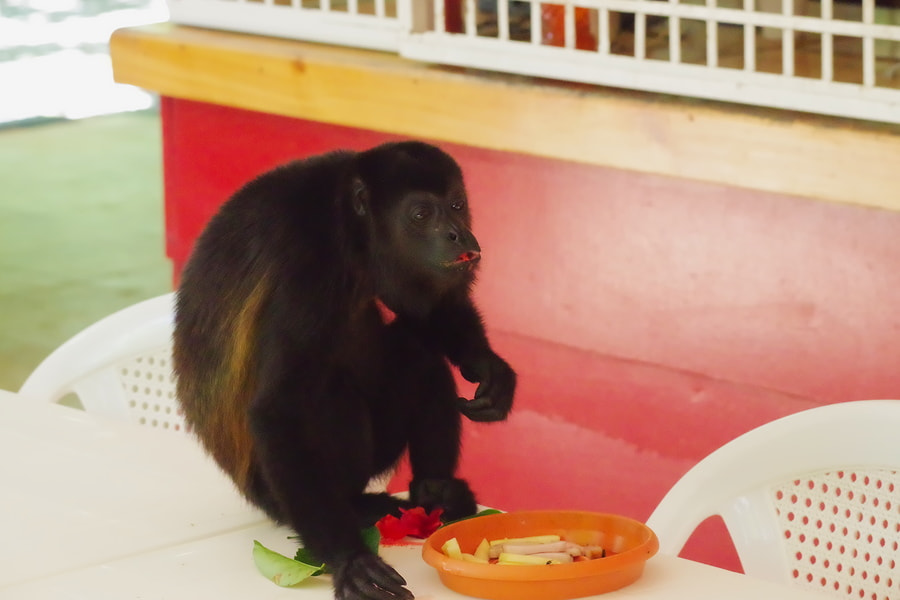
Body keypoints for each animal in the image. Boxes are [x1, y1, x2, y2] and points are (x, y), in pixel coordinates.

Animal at [172, 141, 516, 600]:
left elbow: (429, 311)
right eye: (421, 214)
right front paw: (349, 559)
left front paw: (490, 368)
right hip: (280, 492)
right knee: (325, 392)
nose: (459, 234)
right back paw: (362, 506)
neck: (350, 225)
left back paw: (435, 491)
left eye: (458, 205)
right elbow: (278, 409)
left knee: (418, 353)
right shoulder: (307, 266)